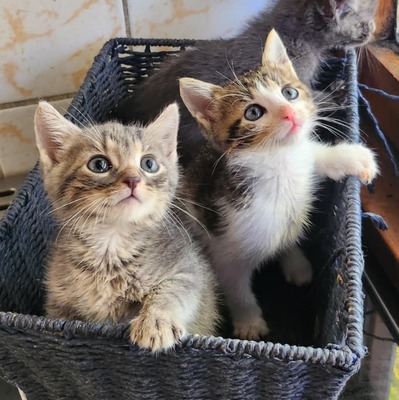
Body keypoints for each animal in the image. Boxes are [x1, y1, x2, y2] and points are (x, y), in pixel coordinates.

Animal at [178, 28, 378, 340]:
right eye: (253, 113)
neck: (279, 163)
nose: (290, 113)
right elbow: (236, 287)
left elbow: (315, 155)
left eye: (289, 93)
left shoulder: (302, 160)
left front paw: (355, 158)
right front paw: (249, 322)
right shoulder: (225, 248)